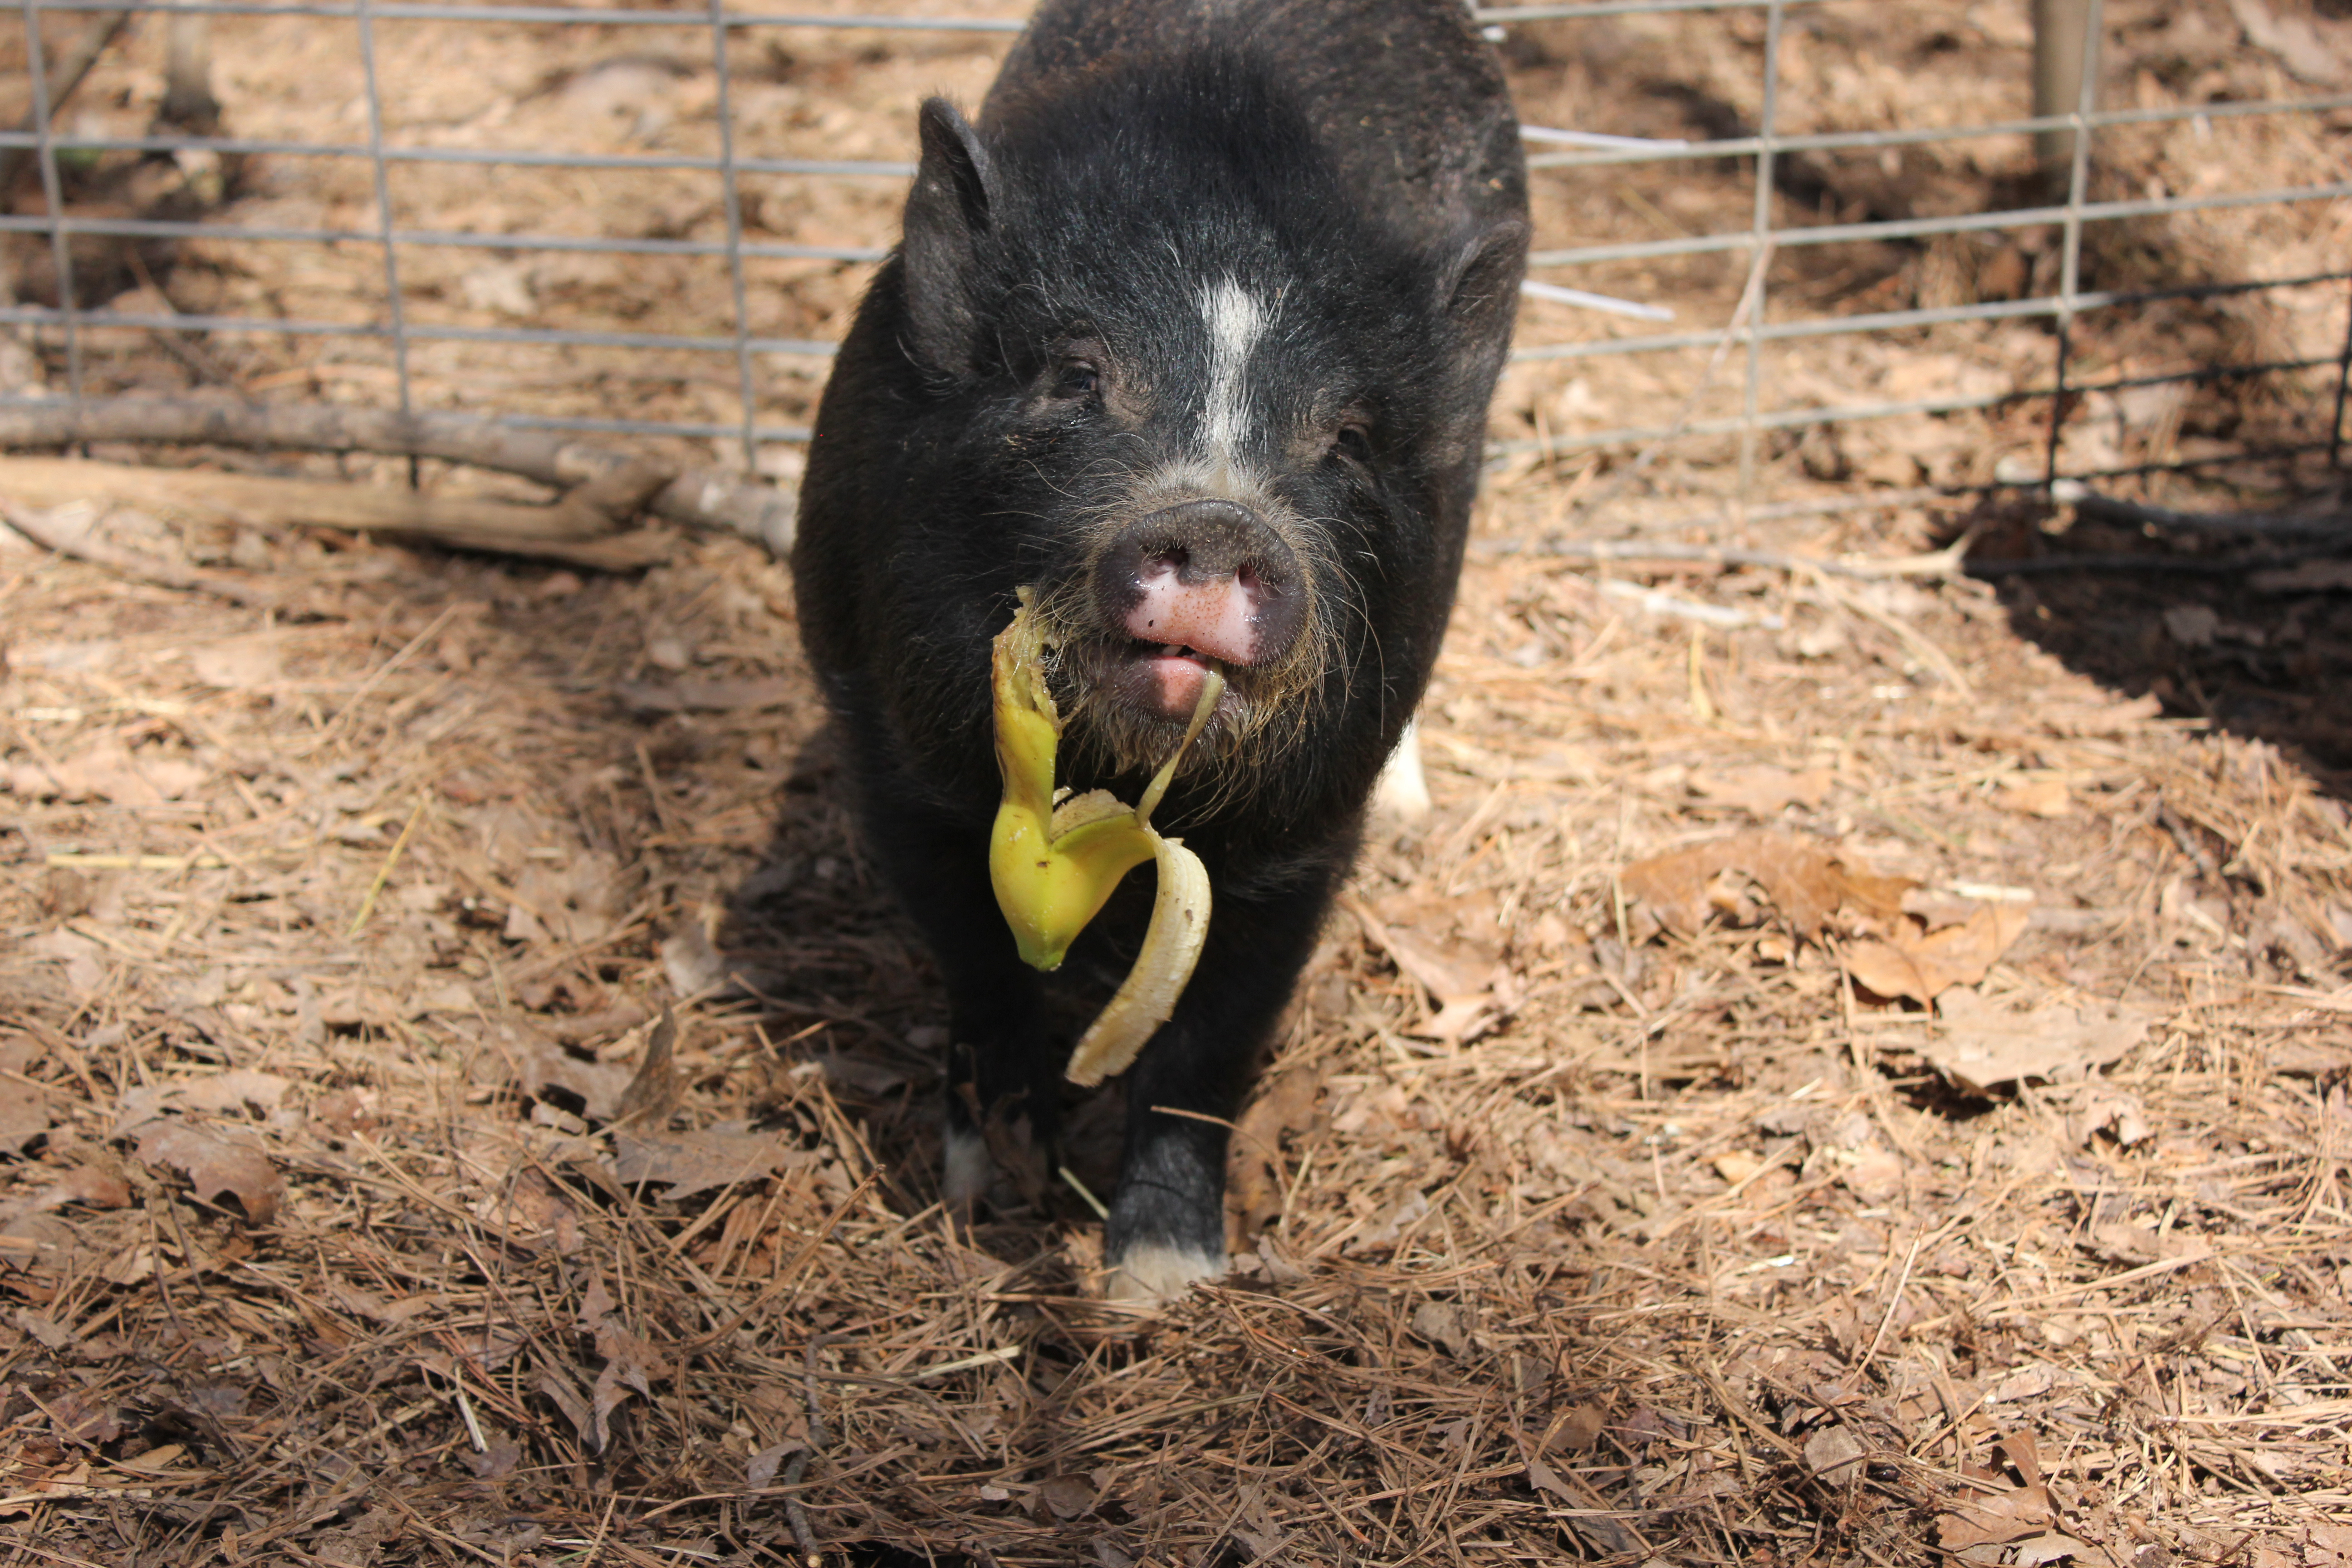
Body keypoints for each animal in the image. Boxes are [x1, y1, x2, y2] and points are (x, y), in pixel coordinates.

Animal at [790, 0, 1524, 1298]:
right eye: (1076, 375)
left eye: (1346, 437)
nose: (1221, 520)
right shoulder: (892, 753)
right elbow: (979, 969)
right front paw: (985, 1198)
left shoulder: (1302, 830)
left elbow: (1209, 1045)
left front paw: (1160, 1283)